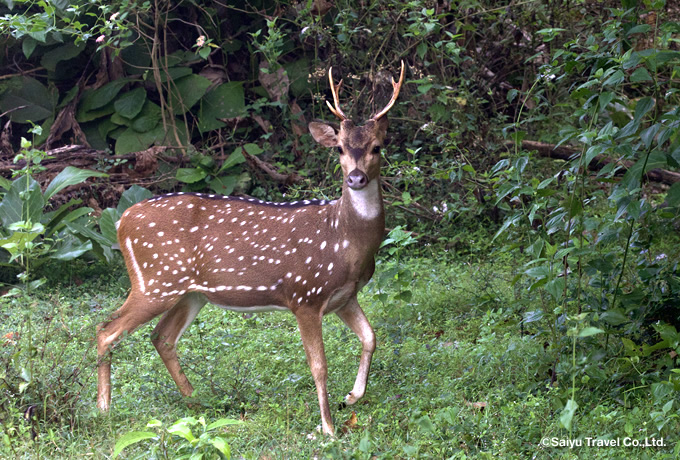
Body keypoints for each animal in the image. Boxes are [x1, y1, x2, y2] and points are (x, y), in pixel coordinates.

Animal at [95, 61, 404, 434]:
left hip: (189, 292)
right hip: (155, 281)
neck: (346, 241)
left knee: (161, 337)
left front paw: (352, 397)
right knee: (106, 330)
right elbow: (319, 365)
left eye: (377, 147)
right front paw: (327, 428)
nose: (355, 178)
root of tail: (122, 219)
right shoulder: (305, 294)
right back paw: (103, 409)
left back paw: (199, 402)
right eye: (340, 149)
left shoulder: (345, 296)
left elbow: (371, 338)